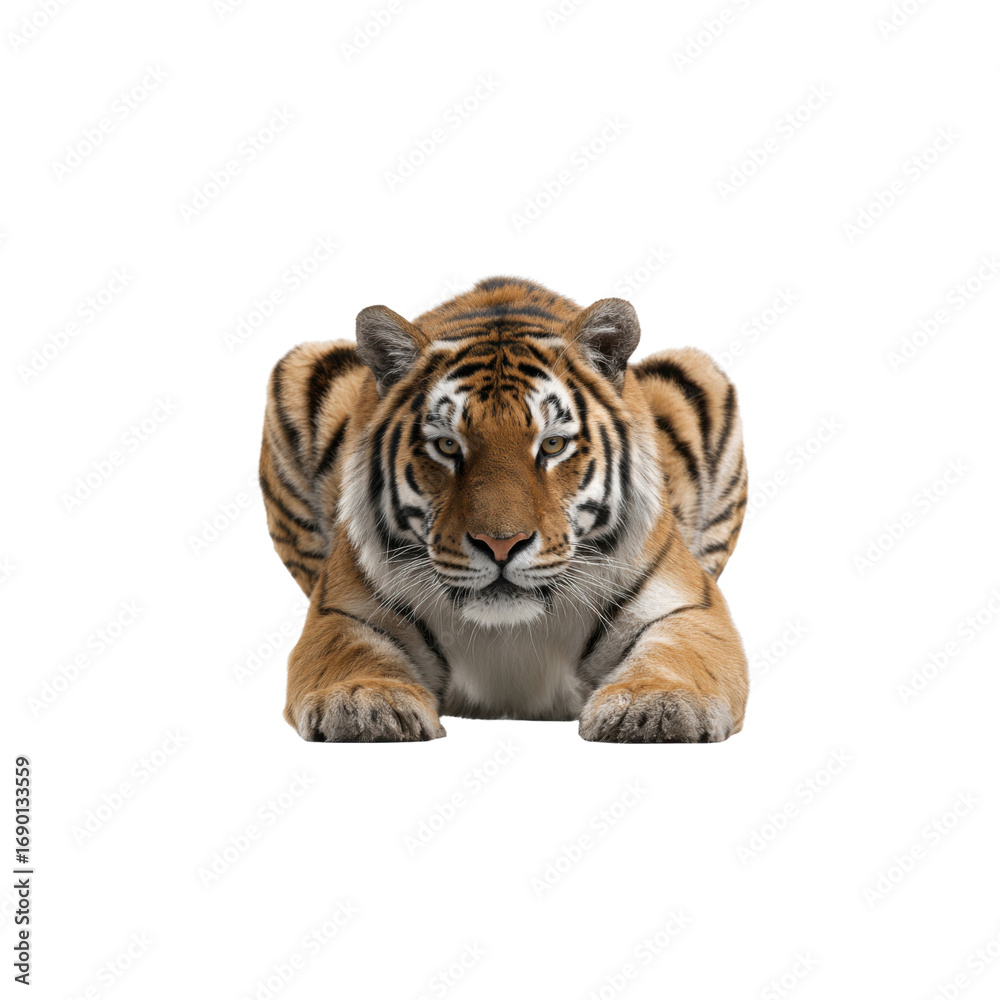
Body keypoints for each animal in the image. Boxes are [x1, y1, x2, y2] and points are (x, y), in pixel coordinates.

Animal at [259, 276, 749, 743]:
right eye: (447, 446)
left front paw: (657, 706)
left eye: (552, 445)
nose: (500, 544)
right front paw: (365, 701)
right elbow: (351, 655)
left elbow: (678, 656)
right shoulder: (343, 612)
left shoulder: (687, 607)